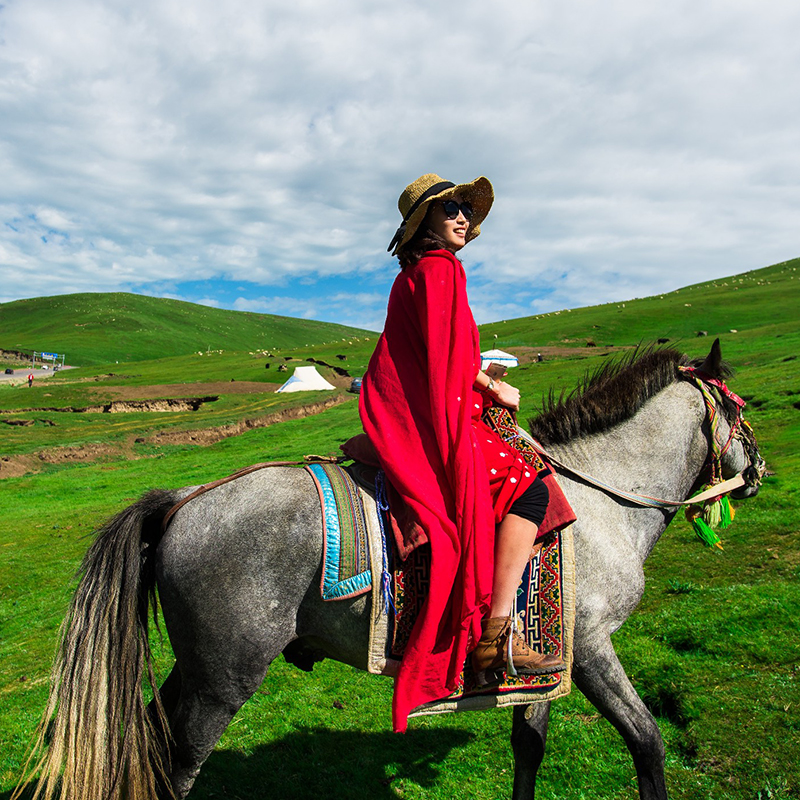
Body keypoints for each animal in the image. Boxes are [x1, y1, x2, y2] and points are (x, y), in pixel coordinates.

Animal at [18, 340, 764, 800]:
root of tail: (186, 498)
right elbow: (647, 741)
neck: (604, 496)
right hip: (223, 676)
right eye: (744, 409)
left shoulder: (549, 662)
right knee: (178, 766)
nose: (759, 473)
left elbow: (529, 746)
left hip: (196, 668)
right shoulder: (593, 647)